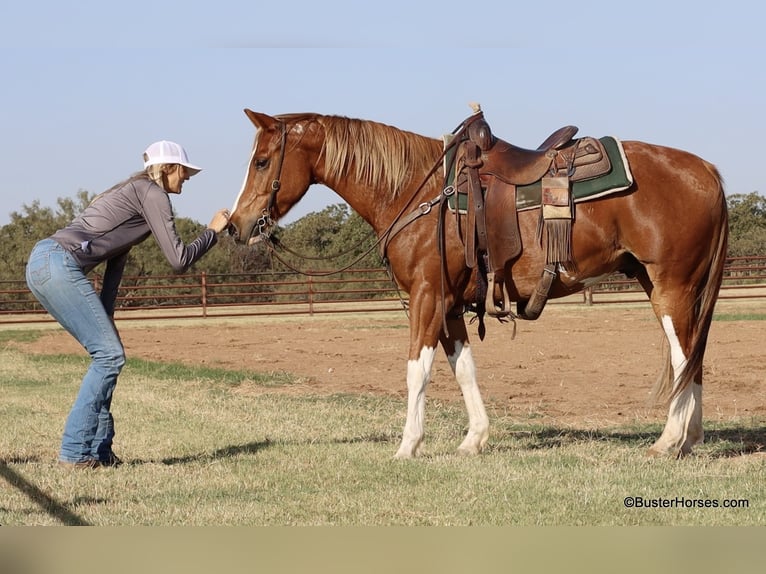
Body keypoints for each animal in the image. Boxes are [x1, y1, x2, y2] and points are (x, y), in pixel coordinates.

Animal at [228, 107, 729, 459]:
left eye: (263, 161)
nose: (236, 225)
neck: (415, 190)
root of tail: (706, 169)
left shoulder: (427, 296)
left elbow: (417, 370)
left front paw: (408, 445)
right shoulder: (450, 304)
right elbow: (463, 368)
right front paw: (475, 439)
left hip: (672, 287)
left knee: (683, 357)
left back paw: (668, 440)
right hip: (663, 287)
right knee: (695, 358)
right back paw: (689, 439)